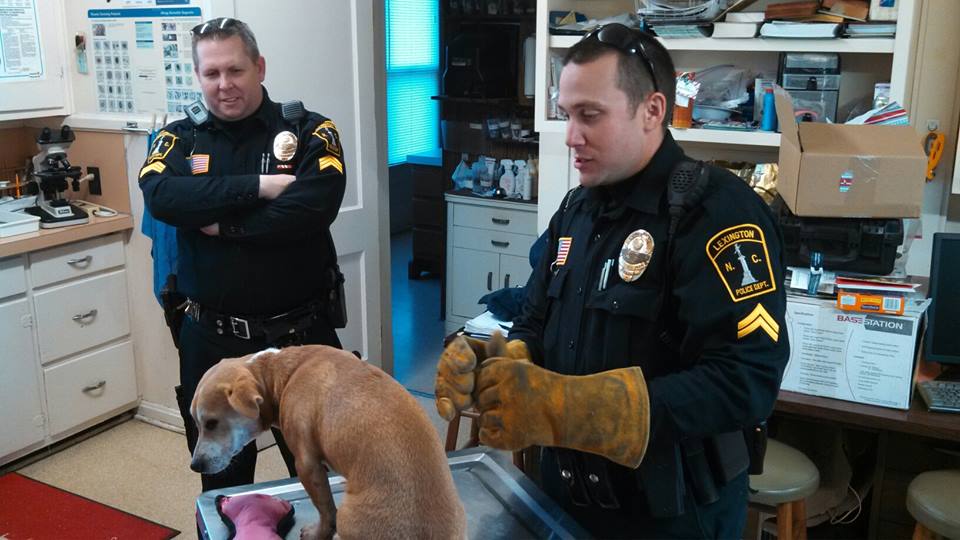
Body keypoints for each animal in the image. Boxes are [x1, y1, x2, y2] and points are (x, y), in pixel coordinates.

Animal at [190, 345, 466, 540]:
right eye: (195, 422)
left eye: (211, 423)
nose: (195, 466)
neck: (281, 373)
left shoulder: (306, 464)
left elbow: (325, 510)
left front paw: (317, 533)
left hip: (350, 517)